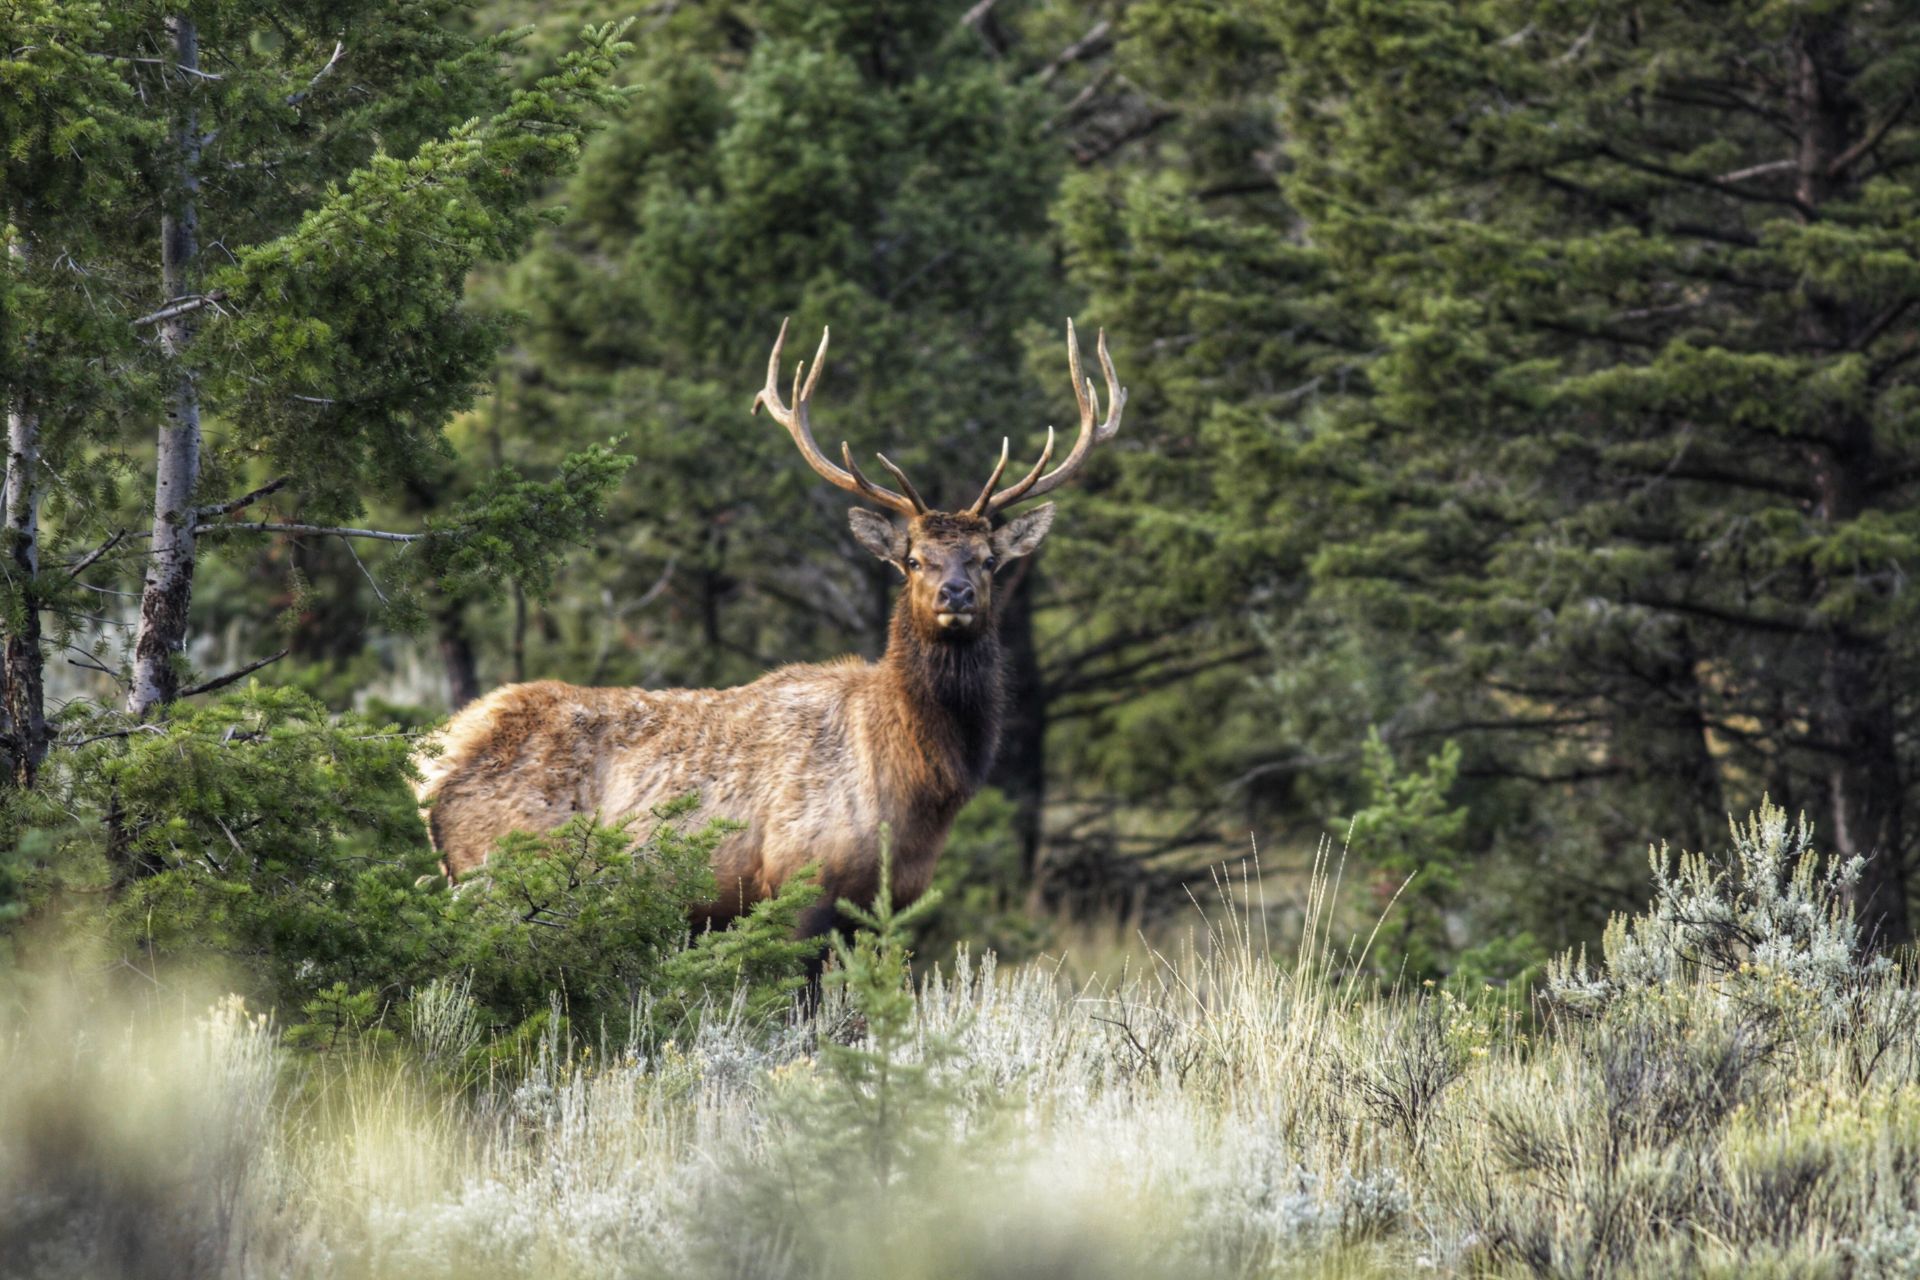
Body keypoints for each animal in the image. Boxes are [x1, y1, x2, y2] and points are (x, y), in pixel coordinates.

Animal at [412, 318, 1121, 940]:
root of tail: (434, 761)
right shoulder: (801, 880)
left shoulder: (887, 904)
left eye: (988, 559)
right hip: (497, 872)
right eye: (914, 559)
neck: (917, 792)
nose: (957, 593)